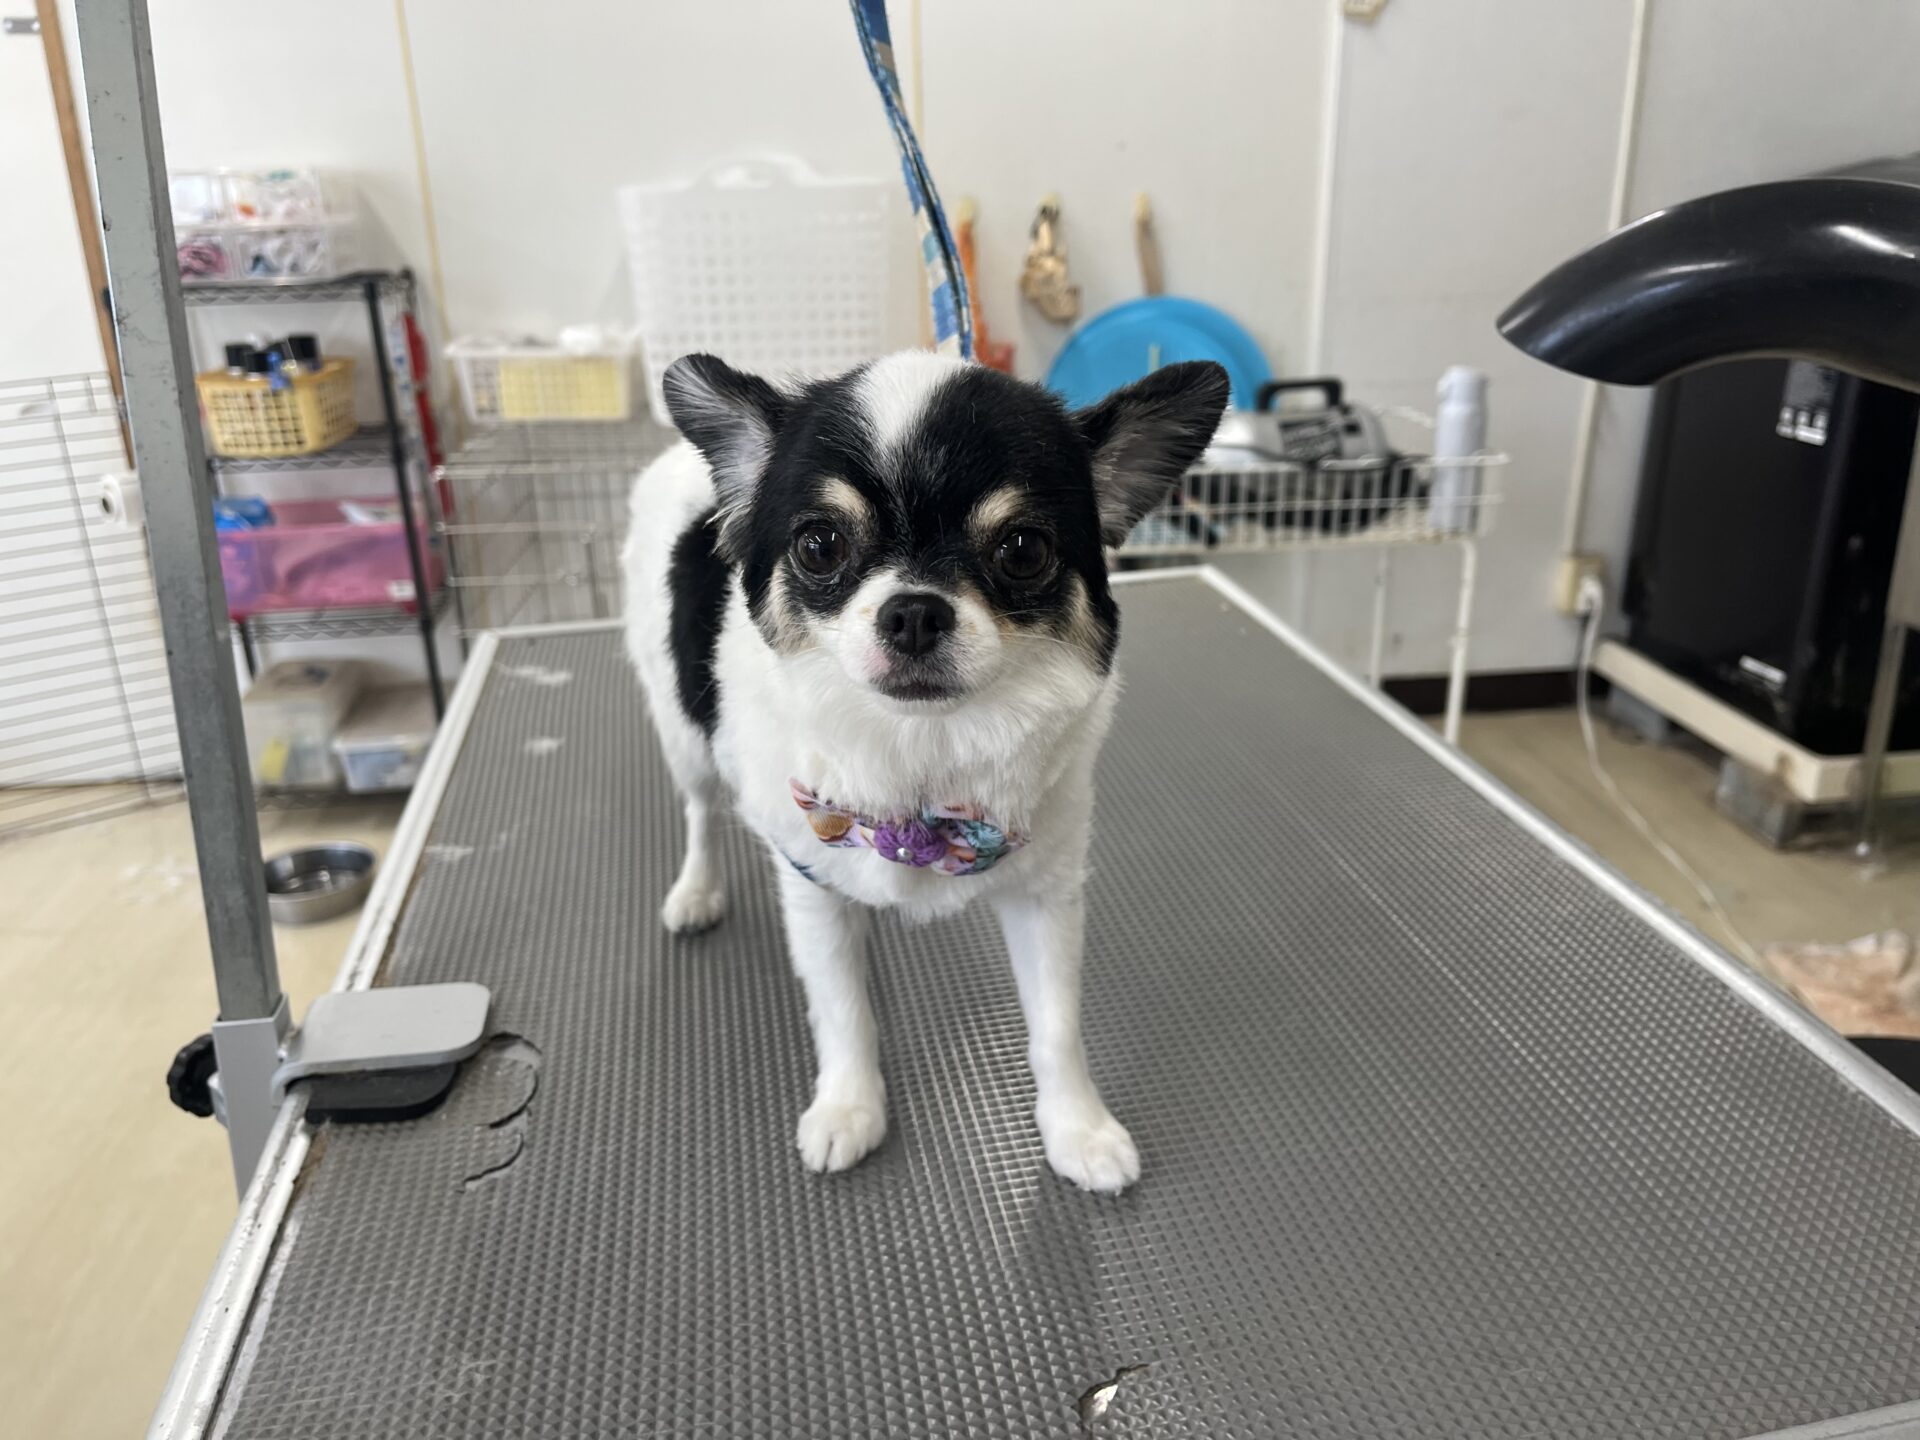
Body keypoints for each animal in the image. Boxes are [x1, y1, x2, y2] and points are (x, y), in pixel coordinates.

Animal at [622, 350, 1228, 1193]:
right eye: (820, 546)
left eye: (1023, 550)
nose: (913, 610)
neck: (921, 752)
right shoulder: (813, 885)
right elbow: (842, 1010)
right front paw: (849, 1108)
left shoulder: (1046, 894)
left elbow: (1056, 1024)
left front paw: (1078, 1128)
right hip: (683, 730)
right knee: (702, 811)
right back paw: (696, 891)